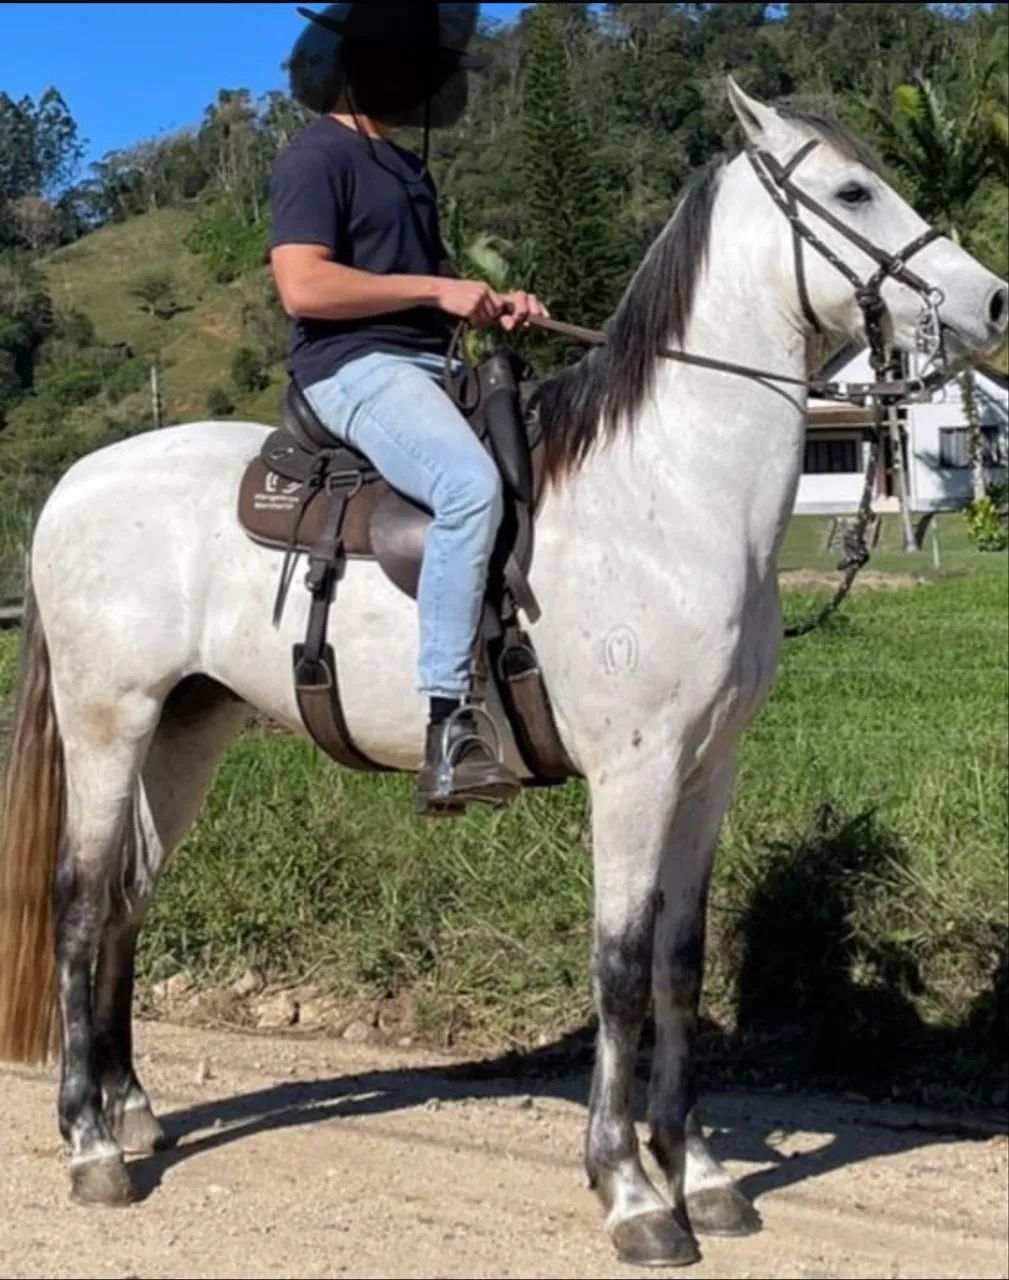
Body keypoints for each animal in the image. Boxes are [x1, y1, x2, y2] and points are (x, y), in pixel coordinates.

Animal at [1, 79, 1006, 1267]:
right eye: (851, 191)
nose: (991, 301)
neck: (668, 496)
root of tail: (73, 485)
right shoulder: (633, 772)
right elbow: (619, 966)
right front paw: (631, 1191)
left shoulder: (706, 770)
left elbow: (678, 963)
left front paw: (704, 1175)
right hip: (107, 723)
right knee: (77, 902)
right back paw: (89, 1143)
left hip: (186, 730)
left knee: (128, 897)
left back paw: (131, 1108)